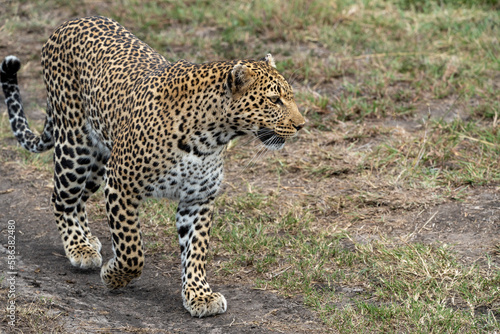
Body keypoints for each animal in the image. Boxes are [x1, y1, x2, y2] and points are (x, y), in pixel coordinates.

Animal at [0, 16, 304, 318]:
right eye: (274, 99)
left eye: (290, 96)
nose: (302, 125)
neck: (212, 136)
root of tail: (69, 22)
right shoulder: (120, 186)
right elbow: (132, 250)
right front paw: (113, 276)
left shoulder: (198, 199)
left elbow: (196, 251)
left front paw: (199, 295)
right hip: (76, 147)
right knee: (61, 198)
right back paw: (79, 247)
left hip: (99, 160)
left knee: (80, 198)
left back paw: (88, 240)